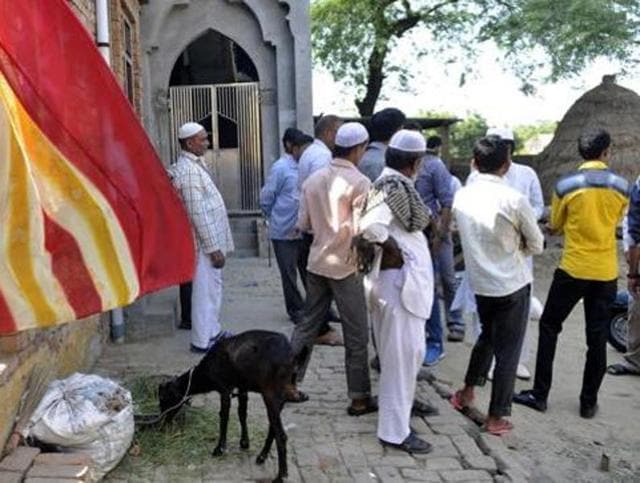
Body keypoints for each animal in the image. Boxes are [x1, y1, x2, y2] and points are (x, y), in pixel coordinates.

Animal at [159, 330, 294, 482]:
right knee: (273, 428)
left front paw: (219, 449)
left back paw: (281, 475)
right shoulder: (242, 388)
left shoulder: (224, 389)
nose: (163, 423)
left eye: (164, 398)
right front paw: (244, 443)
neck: (207, 371)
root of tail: (289, 353)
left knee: (281, 435)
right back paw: (262, 456)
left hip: (270, 394)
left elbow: (224, 417)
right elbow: (242, 413)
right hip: (280, 398)